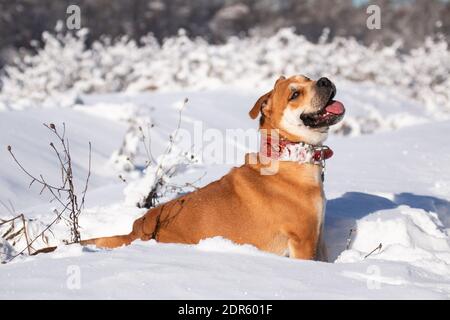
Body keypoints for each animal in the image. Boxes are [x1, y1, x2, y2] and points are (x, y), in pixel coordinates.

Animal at [81, 75, 344, 260]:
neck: (289, 154)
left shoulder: (318, 237)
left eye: (308, 77)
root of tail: (136, 230)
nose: (324, 80)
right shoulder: (303, 240)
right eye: (294, 94)